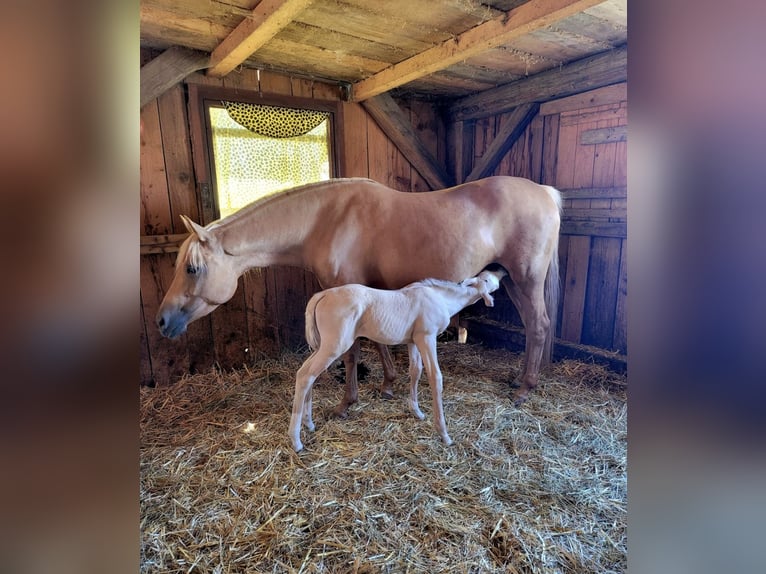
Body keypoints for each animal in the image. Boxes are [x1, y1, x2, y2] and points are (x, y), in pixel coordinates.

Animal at [156, 176, 561, 412]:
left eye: (192, 269)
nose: (162, 321)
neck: (326, 219)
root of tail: (546, 192)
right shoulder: (369, 292)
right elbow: (377, 340)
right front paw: (387, 384)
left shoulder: (348, 293)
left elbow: (352, 352)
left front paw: (346, 403)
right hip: (511, 280)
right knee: (532, 327)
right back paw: (520, 380)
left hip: (526, 278)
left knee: (540, 325)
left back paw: (525, 389)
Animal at [289, 269, 505, 452]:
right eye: (487, 279)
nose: (501, 273)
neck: (440, 299)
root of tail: (322, 295)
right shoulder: (427, 338)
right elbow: (435, 377)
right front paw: (444, 434)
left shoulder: (414, 341)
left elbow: (415, 371)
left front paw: (417, 412)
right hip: (334, 346)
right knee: (306, 375)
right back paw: (296, 441)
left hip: (322, 345)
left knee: (305, 372)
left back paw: (309, 423)